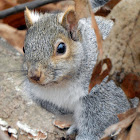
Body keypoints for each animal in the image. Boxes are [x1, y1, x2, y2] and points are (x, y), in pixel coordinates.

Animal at [22, 0, 136, 139]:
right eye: (24, 48)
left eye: (61, 48)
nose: (34, 75)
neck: (61, 84)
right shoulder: (40, 96)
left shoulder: (104, 91)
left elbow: (101, 119)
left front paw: (85, 136)